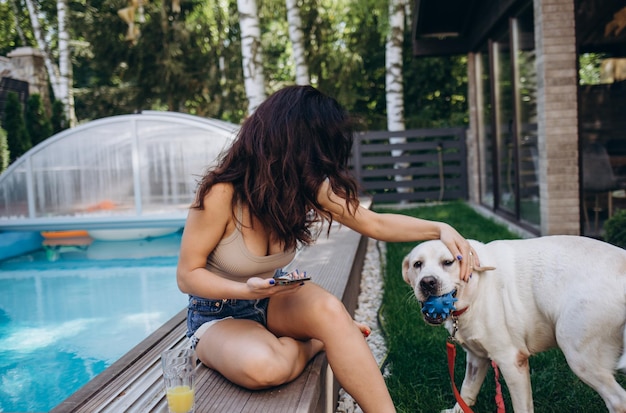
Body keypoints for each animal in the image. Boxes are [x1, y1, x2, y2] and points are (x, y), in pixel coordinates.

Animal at [400, 235, 624, 412]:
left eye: (448, 262)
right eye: (417, 264)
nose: (427, 282)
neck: (476, 290)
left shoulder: (512, 362)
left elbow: (522, 407)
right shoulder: (476, 358)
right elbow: (466, 391)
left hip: (578, 355)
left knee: (618, 401)